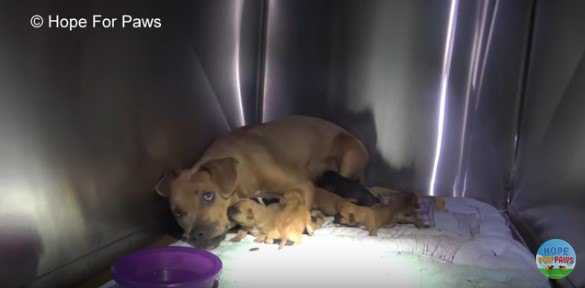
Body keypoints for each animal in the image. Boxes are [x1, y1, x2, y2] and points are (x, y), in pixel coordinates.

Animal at [155, 116, 364, 249]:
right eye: (178, 212)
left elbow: (299, 211)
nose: (196, 234)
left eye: (208, 195)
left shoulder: (303, 186)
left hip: (349, 155)